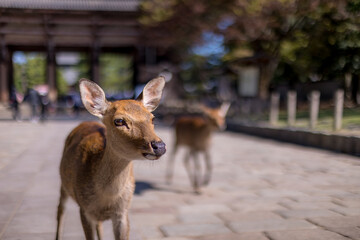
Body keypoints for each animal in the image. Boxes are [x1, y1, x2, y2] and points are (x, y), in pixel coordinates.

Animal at [56, 77, 166, 240]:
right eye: (119, 121)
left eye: (152, 118)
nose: (159, 146)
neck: (107, 197)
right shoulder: (84, 209)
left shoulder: (123, 211)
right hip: (63, 183)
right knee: (60, 209)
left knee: (99, 225)